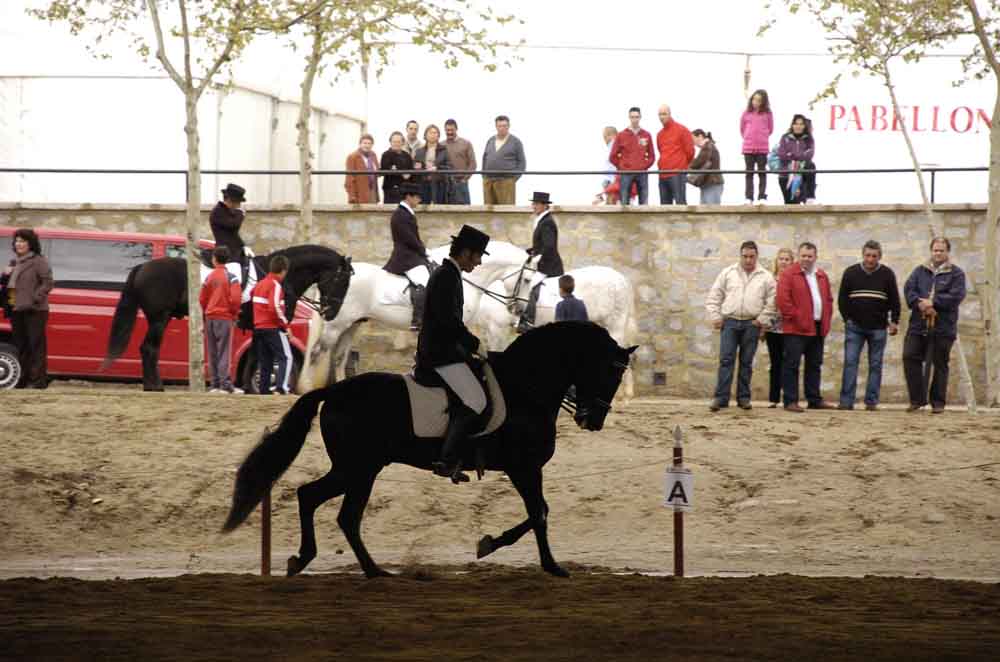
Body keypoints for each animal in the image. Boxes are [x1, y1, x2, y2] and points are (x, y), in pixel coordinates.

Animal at [104, 245, 354, 392]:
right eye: (342, 280)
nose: (331, 312)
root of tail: (142, 266)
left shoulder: (258, 329)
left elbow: (255, 356)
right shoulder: (267, 327)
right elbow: (262, 358)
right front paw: (260, 386)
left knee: (148, 348)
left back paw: (152, 385)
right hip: (159, 318)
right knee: (149, 348)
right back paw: (154, 386)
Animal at [223, 324, 636, 580]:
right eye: (612, 372)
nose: (593, 420)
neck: (525, 389)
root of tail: (335, 390)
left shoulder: (524, 469)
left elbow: (539, 513)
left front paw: (493, 544)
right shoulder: (524, 467)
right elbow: (539, 513)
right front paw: (545, 564)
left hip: (358, 469)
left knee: (321, 503)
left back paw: (337, 564)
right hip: (360, 468)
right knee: (335, 510)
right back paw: (365, 569)